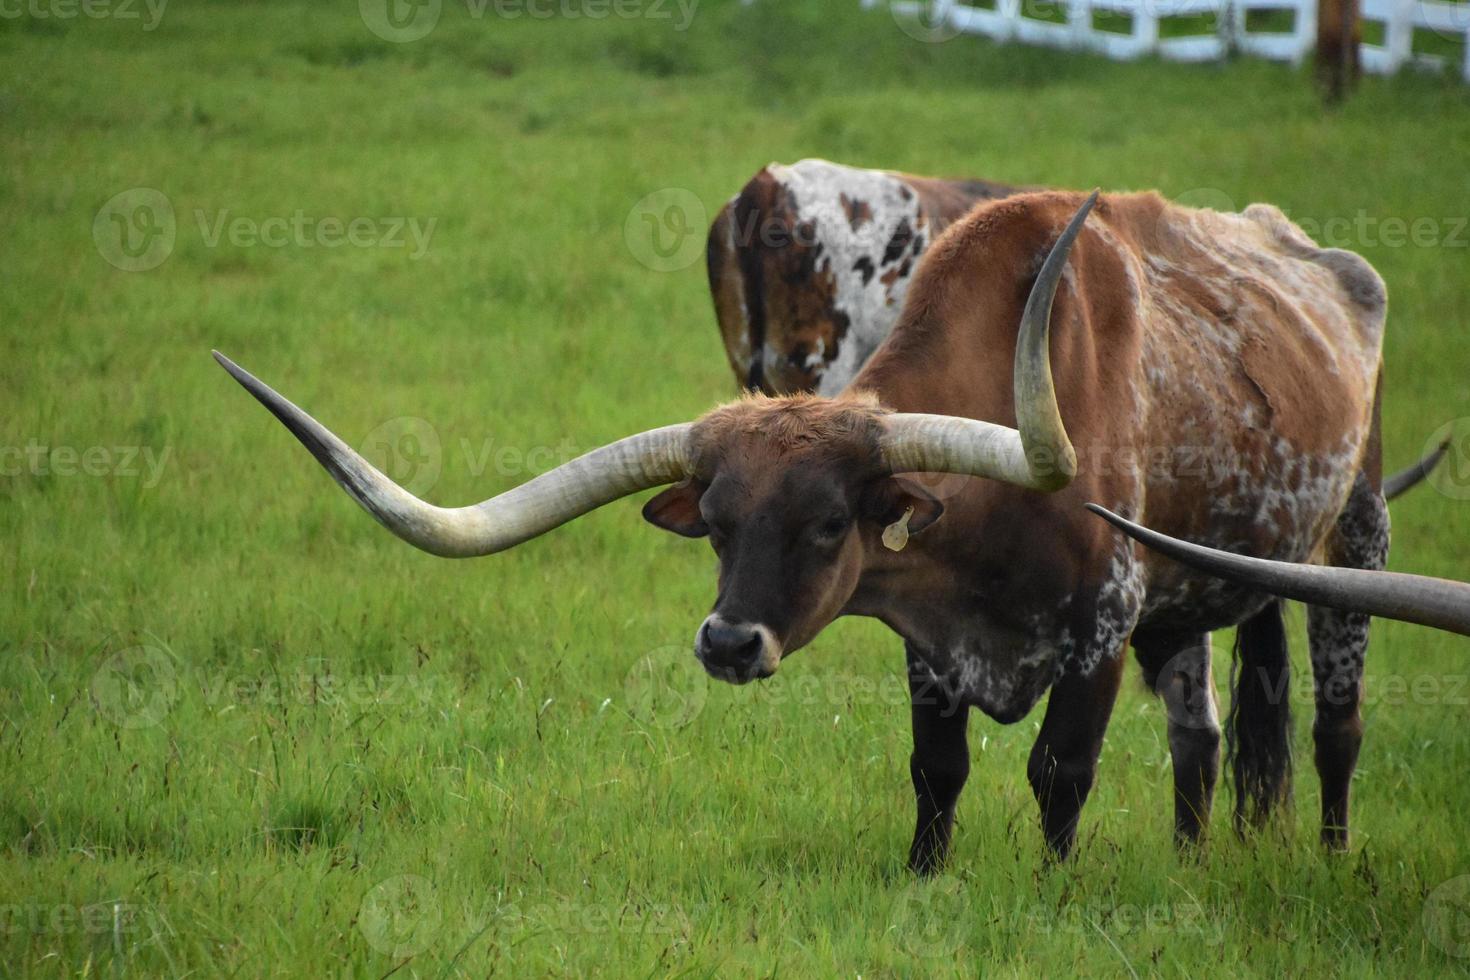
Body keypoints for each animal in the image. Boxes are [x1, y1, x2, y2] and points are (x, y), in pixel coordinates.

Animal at [214, 188, 1422, 869]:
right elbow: (937, 773)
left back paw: (1327, 858)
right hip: (1213, 589)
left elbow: (1059, 773)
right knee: (1209, 738)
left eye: (832, 519)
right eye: (714, 522)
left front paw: (1054, 891)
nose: (726, 641)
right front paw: (925, 880)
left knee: (1335, 725)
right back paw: (1192, 863)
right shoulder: (932, 648)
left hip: (1352, 533)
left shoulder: (1103, 626)